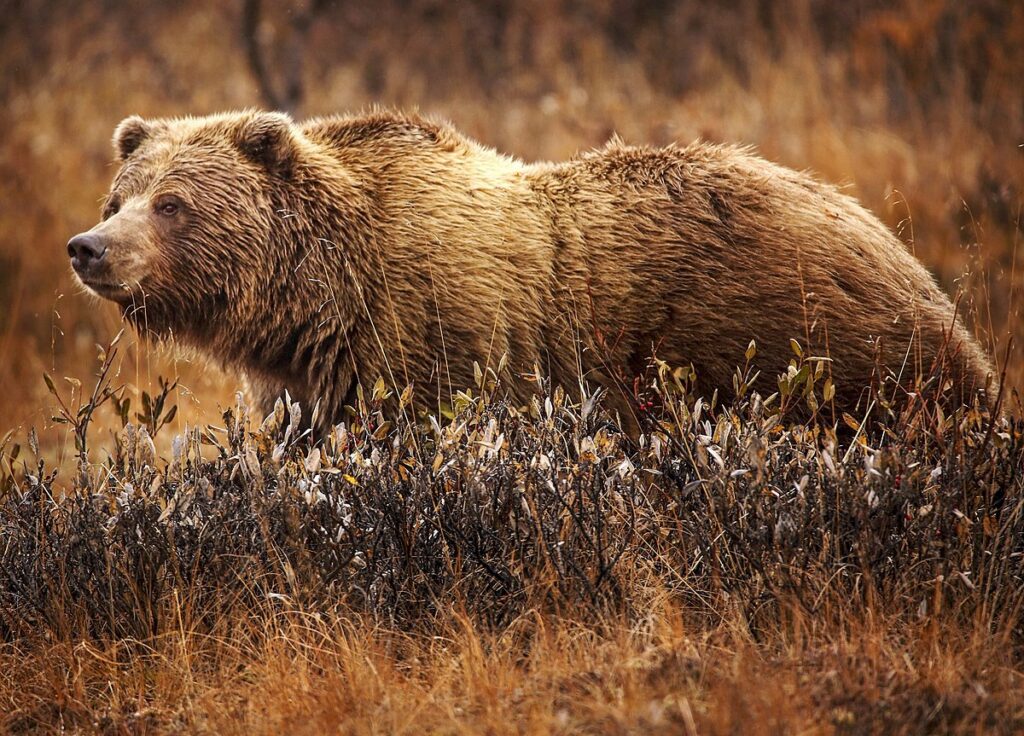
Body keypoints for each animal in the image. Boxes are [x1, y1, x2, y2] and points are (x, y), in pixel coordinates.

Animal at [66, 109, 995, 428]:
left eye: (173, 204)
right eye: (120, 195)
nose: (89, 247)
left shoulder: (437, 341)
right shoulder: (315, 380)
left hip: (808, 346)